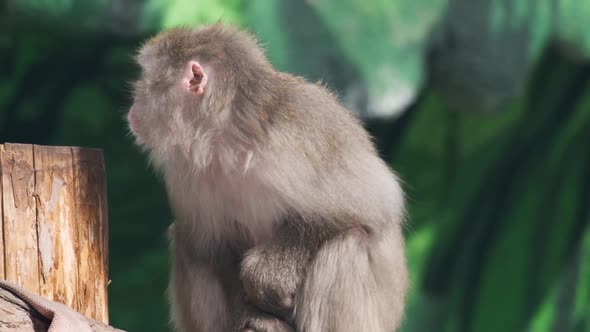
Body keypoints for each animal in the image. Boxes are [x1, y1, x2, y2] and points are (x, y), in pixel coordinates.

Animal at [127, 24, 410, 332]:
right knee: (188, 243)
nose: (132, 104)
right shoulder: (184, 172)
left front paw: (267, 275)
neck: (226, 140)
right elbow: (211, 245)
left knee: (349, 243)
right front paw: (253, 314)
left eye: (144, 79)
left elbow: (375, 202)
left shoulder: (299, 128)